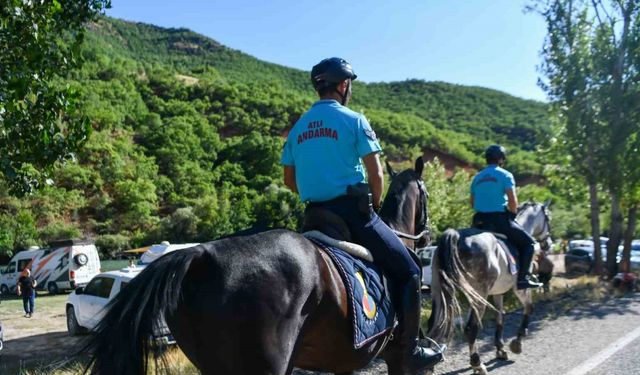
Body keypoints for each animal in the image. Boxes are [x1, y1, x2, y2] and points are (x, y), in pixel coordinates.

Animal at [424, 201, 552, 374]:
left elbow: (500, 315)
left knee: (433, 324)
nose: (548, 244)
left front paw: (500, 348)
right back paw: (477, 364)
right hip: (479, 293)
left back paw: (429, 364)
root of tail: (456, 236)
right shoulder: (520, 288)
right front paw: (517, 343)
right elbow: (529, 308)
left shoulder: (498, 292)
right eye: (548, 218)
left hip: (440, 291)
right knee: (471, 328)